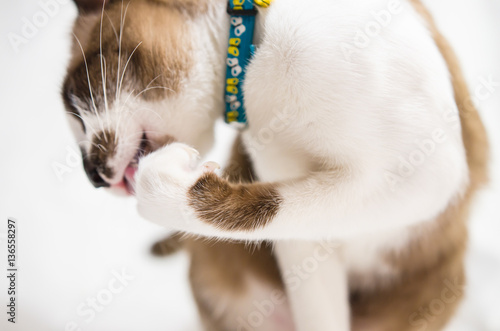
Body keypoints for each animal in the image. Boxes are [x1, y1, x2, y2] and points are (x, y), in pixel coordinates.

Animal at [62, 0, 488, 331]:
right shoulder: (302, 226)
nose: (91, 176)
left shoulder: (425, 173)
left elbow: (194, 199)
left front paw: (170, 170)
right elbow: (318, 308)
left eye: (75, 101)